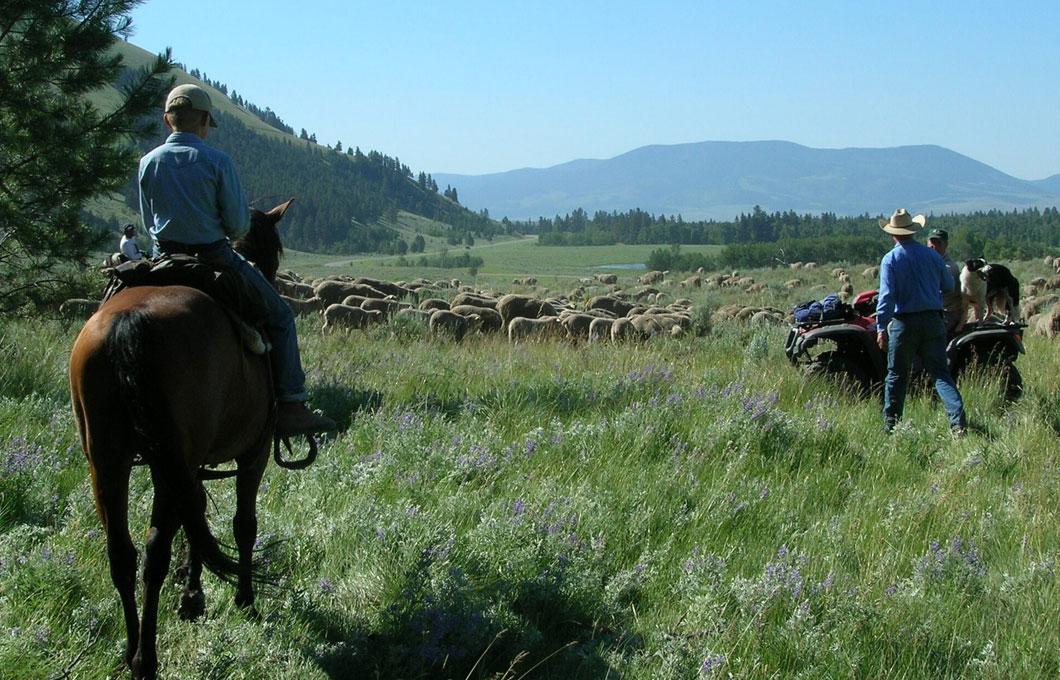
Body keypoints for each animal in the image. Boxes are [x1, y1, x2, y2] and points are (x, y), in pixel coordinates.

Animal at [70, 199, 292, 673]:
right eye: (276, 249)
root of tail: (129, 322)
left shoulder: (194, 462)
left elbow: (199, 518)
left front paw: (192, 594)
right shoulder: (256, 451)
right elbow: (243, 524)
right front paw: (243, 598)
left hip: (108, 459)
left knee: (122, 553)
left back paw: (128, 650)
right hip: (166, 461)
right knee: (155, 551)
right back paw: (146, 658)